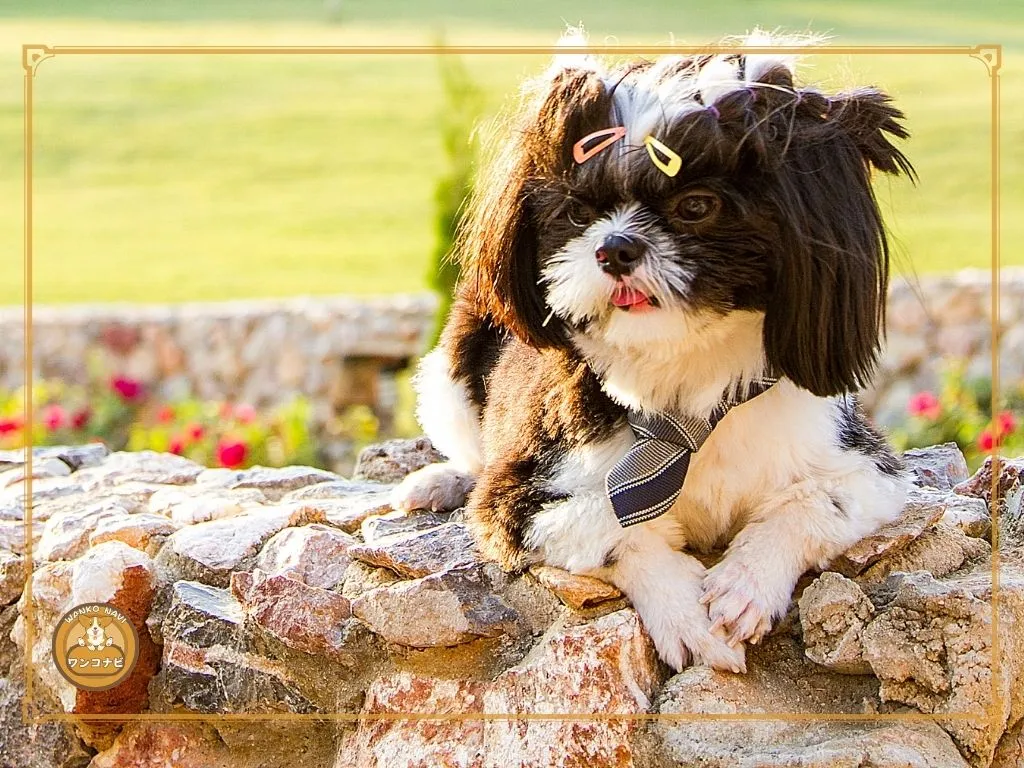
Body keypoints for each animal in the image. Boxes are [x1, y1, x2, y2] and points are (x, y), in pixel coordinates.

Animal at [389, 34, 913, 671]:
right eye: (577, 213)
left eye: (696, 206)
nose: (614, 247)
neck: (685, 377)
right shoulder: (520, 496)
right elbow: (612, 523)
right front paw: (685, 612)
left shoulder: (867, 466)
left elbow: (813, 503)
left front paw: (746, 583)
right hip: (453, 371)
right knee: (469, 449)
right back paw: (439, 482)